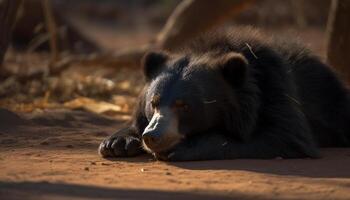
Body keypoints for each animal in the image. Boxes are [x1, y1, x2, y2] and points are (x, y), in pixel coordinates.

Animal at [98, 27, 350, 161]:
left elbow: (284, 135)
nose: (153, 136)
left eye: (184, 105)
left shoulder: (276, 88)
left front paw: (183, 148)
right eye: (154, 103)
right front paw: (116, 143)